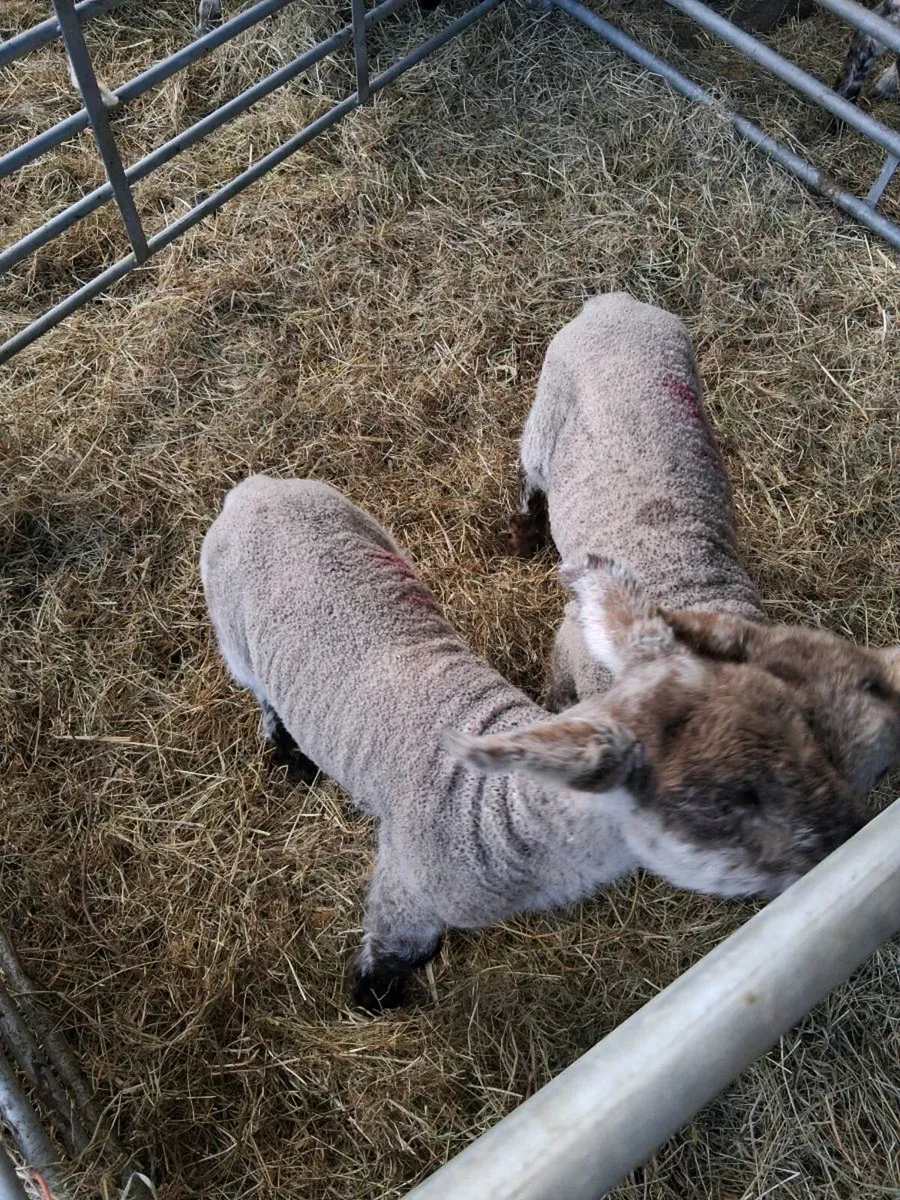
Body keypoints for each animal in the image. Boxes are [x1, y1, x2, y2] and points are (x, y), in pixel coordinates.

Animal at [200, 474, 894, 1010]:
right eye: (720, 804)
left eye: (803, 727)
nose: (847, 837)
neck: (494, 813)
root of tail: (254, 488)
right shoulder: (408, 879)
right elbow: (396, 945)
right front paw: (374, 998)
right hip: (232, 632)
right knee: (258, 690)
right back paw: (288, 754)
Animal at [508, 291, 900, 800]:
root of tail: (615, 302)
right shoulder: (572, 638)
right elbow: (558, 688)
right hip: (549, 407)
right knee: (530, 466)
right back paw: (523, 528)